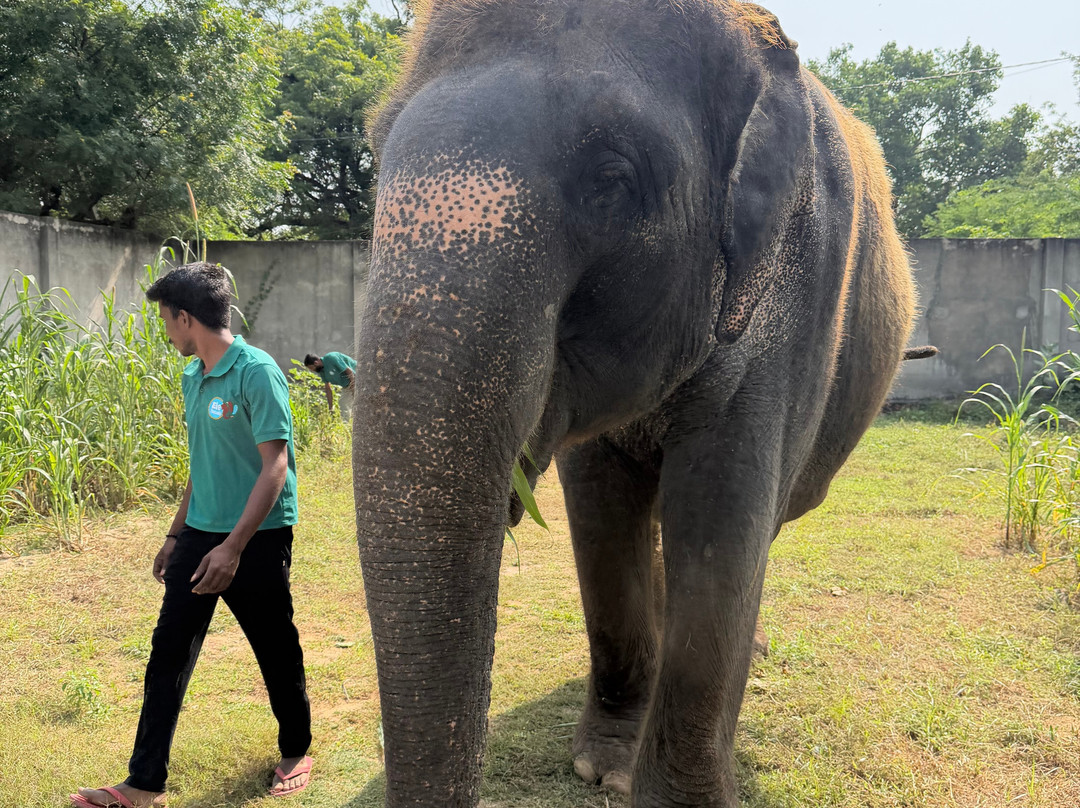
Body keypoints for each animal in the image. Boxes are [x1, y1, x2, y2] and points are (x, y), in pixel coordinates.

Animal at [352, 1, 916, 806]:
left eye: (611, 179)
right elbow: (600, 508)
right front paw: (604, 770)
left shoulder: (805, 291)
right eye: (374, 158)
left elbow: (725, 513)